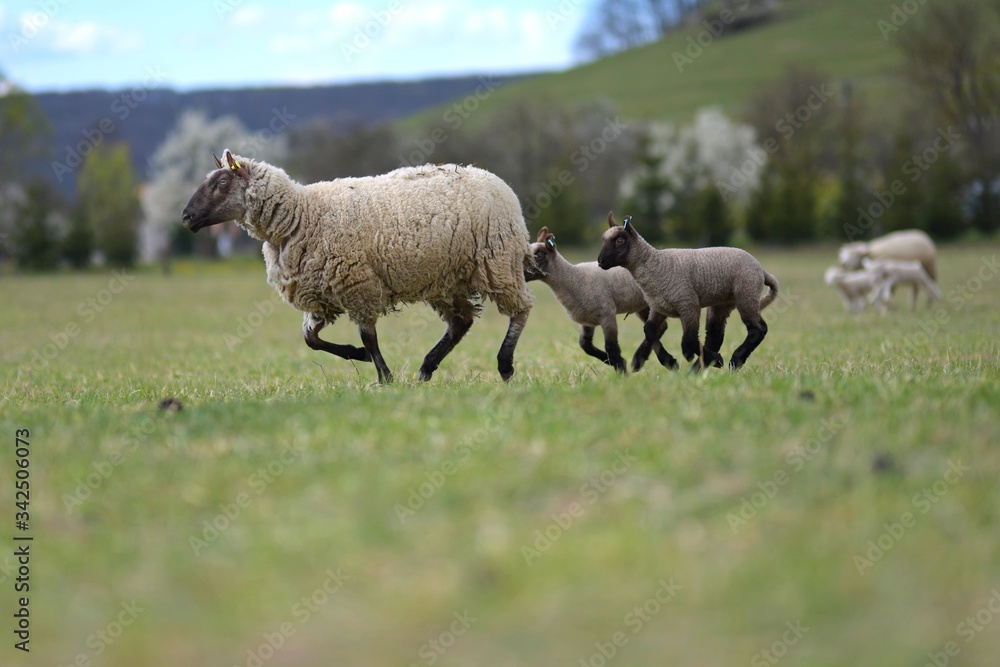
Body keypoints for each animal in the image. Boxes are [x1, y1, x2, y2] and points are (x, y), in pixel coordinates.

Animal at [181, 150, 534, 384]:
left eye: (222, 181)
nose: (186, 217)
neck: (300, 216)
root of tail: (498, 181)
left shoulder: (356, 285)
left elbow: (369, 337)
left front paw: (384, 376)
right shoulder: (322, 297)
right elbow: (311, 340)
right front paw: (359, 357)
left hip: (497, 261)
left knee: (521, 309)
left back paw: (504, 365)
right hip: (447, 279)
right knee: (461, 323)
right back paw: (426, 369)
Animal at [524, 226, 677, 373]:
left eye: (539, 255)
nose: (522, 272)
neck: (574, 279)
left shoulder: (607, 314)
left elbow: (611, 346)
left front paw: (621, 371)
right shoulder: (587, 321)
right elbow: (585, 345)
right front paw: (612, 361)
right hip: (641, 306)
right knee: (661, 327)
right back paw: (639, 361)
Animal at [597, 212, 779, 370]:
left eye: (620, 240)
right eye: (603, 240)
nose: (600, 261)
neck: (655, 265)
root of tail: (761, 269)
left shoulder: (688, 304)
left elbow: (689, 338)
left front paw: (699, 358)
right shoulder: (659, 307)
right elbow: (649, 330)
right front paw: (670, 362)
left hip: (746, 294)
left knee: (758, 329)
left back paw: (733, 361)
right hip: (722, 303)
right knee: (715, 336)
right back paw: (698, 369)